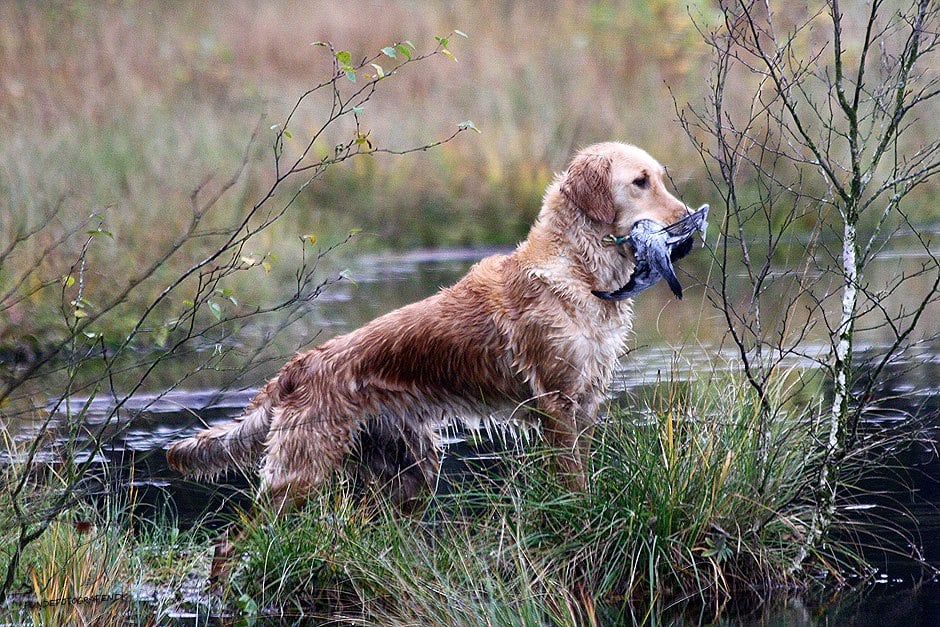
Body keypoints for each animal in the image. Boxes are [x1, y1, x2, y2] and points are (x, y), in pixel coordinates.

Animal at [167, 142, 696, 516]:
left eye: (661, 177)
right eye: (640, 181)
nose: (688, 222)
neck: (579, 270)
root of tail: (298, 367)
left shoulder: (585, 400)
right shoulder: (557, 402)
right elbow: (574, 480)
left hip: (412, 471)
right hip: (300, 474)